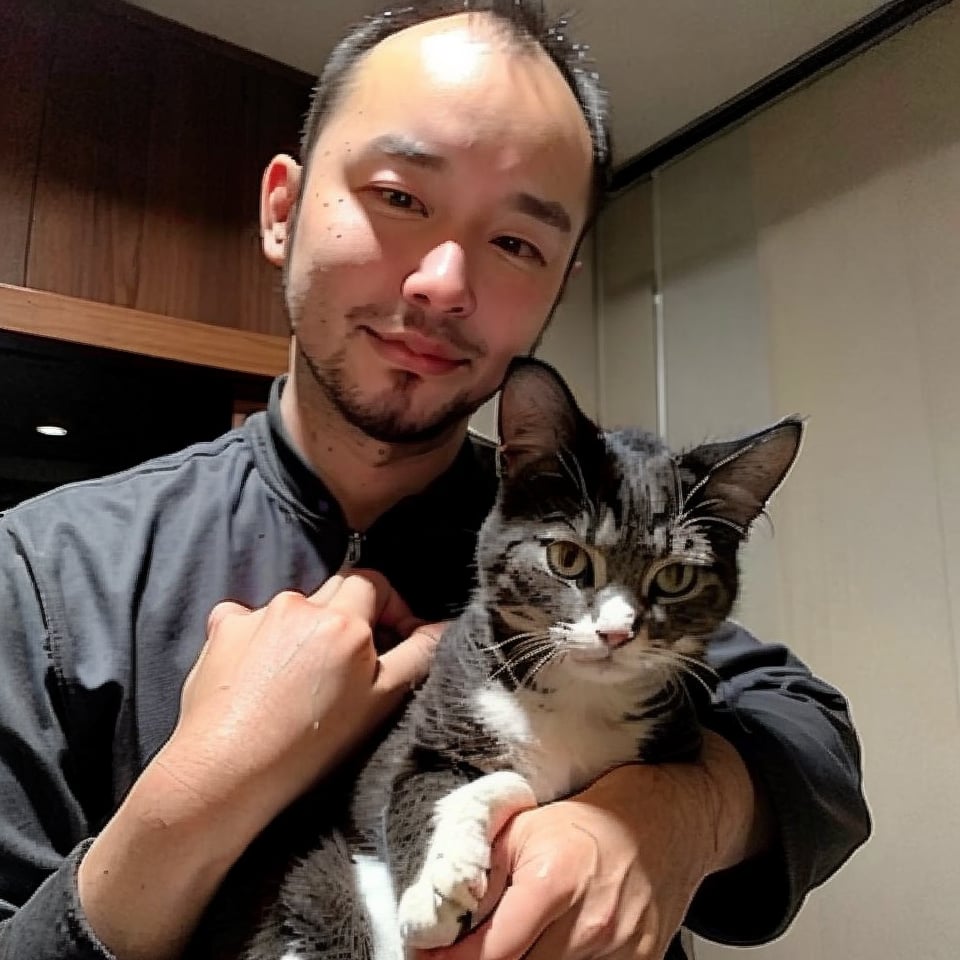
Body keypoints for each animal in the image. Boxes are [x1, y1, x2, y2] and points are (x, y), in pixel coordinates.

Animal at [238, 356, 804, 956]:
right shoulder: (429, 722)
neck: (575, 698)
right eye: (567, 557)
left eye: (675, 577)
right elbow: (414, 785)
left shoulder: (671, 744)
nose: (615, 632)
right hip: (321, 886)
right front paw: (436, 888)